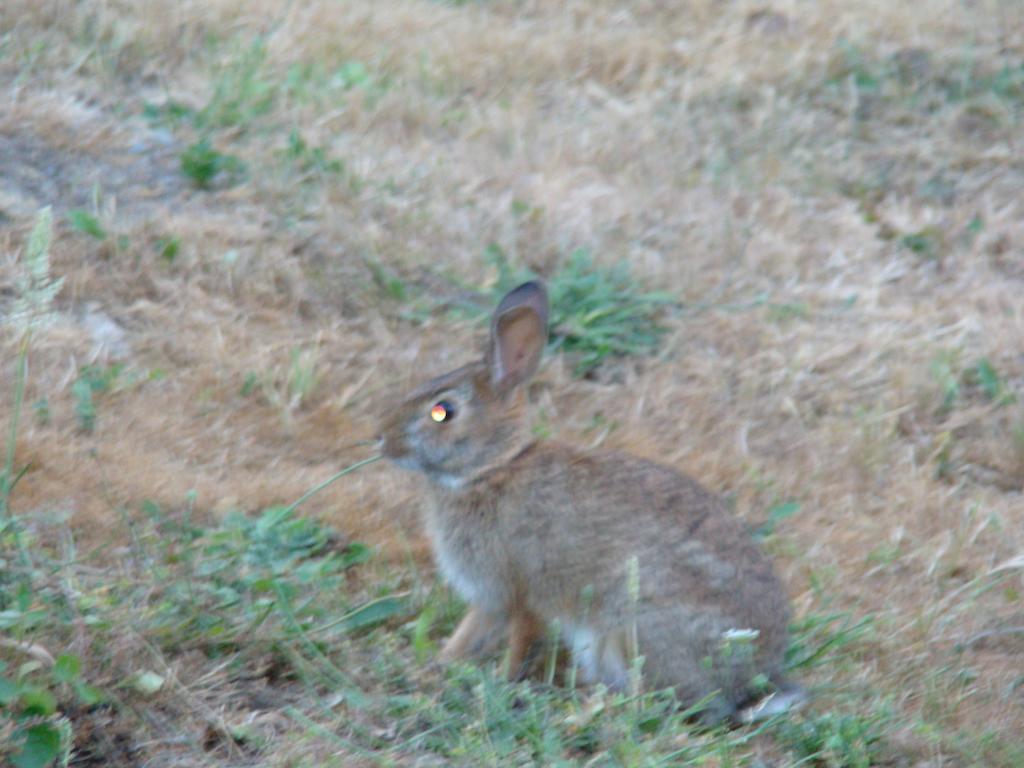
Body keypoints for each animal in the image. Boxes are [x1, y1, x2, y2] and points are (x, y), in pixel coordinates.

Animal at [380, 282, 802, 729]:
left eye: (442, 412)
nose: (381, 438)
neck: (491, 469)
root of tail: (746, 687)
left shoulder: (519, 590)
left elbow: (518, 642)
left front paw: (495, 686)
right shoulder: (492, 599)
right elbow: (469, 635)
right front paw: (437, 665)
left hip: (631, 629)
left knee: (651, 705)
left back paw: (579, 712)